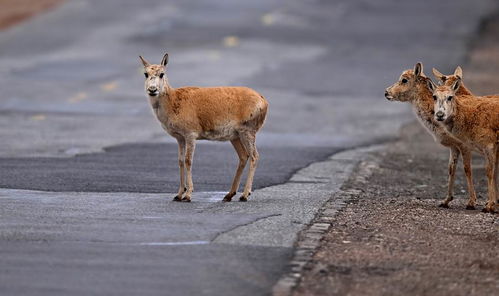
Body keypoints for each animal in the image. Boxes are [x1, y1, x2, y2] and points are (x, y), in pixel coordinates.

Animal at [137, 52, 270, 201]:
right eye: (145, 73)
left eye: (162, 73)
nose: (152, 89)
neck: (173, 103)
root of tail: (264, 101)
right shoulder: (179, 137)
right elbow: (180, 161)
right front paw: (178, 194)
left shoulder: (190, 133)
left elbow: (188, 160)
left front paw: (188, 195)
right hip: (235, 135)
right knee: (243, 156)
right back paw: (229, 194)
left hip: (248, 130)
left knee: (254, 156)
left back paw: (245, 194)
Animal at [384, 63, 478, 209]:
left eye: (404, 80)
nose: (386, 92)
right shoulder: (454, 146)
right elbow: (451, 168)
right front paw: (445, 201)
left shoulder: (464, 145)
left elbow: (467, 169)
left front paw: (472, 202)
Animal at [430, 77, 499, 213]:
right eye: (434, 96)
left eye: (450, 97)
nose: (440, 115)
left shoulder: (489, 145)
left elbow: (489, 172)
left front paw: (488, 206)